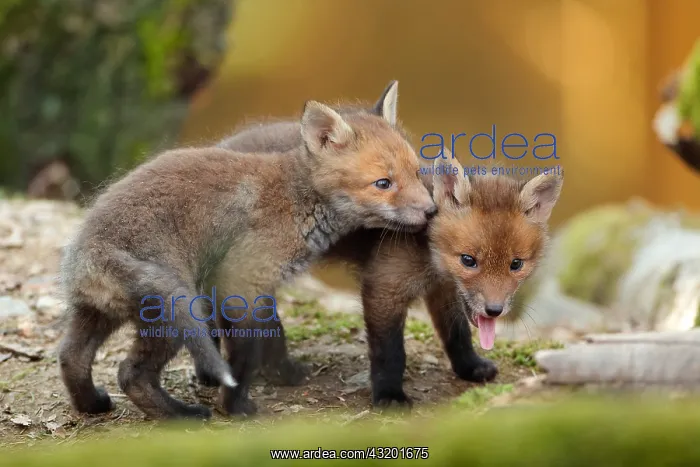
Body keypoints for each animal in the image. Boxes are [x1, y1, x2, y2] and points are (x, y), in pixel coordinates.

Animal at [57, 81, 437, 419]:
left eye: (418, 173)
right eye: (383, 183)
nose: (432, 211)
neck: (297, 199)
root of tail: (90, 251)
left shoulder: (256, 284)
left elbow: (273, 336)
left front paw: (281, 375)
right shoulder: (240, 280)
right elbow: (245, 355)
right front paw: (236, 406)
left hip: (99, 314)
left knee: (70, 357)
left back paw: (93, 405)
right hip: (173, 316)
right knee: (130, 374)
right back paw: (182, 416)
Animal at [198, 113, 563, 408]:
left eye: (516, 265)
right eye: (469, 260)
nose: (494, 310)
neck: (429, 252)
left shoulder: (443, 291)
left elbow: (456, 335)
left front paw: (470, 367)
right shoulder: (384, 288)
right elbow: (391, 353)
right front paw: (389, 395)